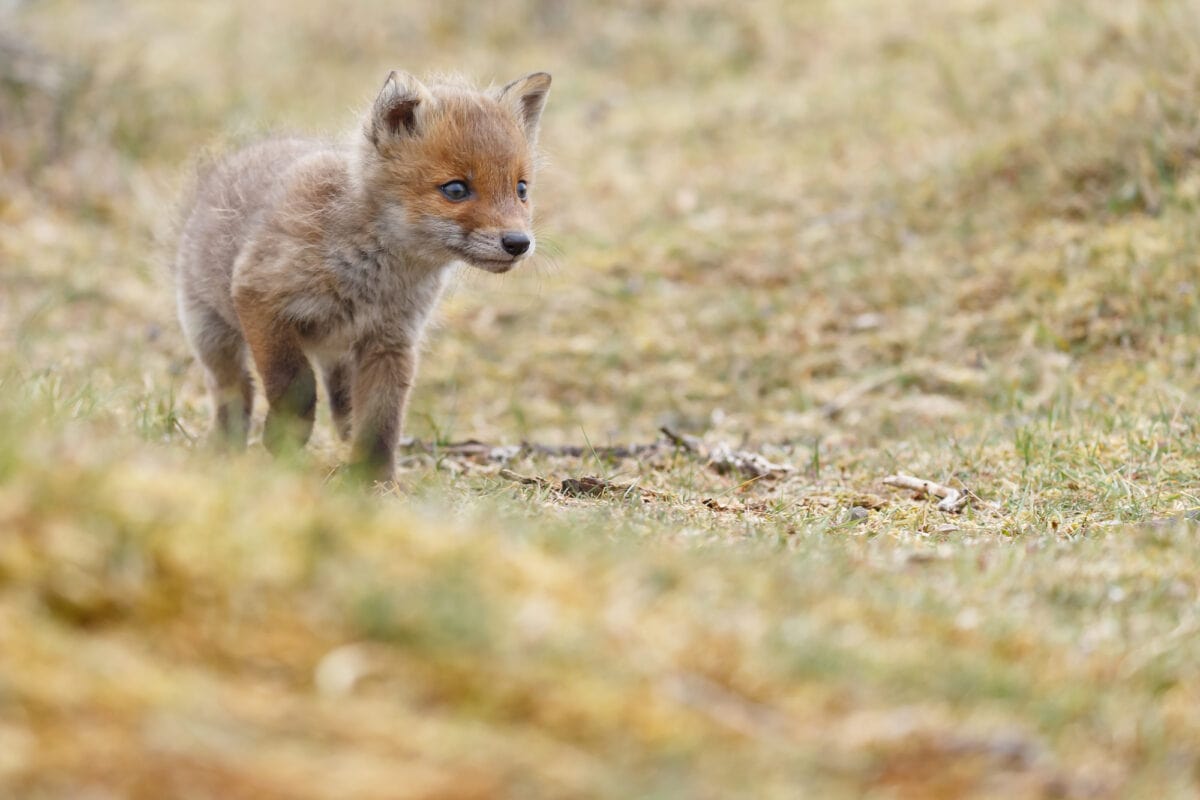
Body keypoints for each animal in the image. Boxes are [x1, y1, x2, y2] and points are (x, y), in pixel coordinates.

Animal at [175, 71, 552, 482]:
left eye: (521, 189)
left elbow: (382, 416)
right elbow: (294, 384)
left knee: (340, 399)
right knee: (235, 389)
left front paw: (373, 481)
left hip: (336, 349)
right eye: (455, 189)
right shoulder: (259, 298)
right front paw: (285, 438)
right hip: (209, 331)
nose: (518, 242)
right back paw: (224, 446)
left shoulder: (391, 340)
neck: (376, 276)